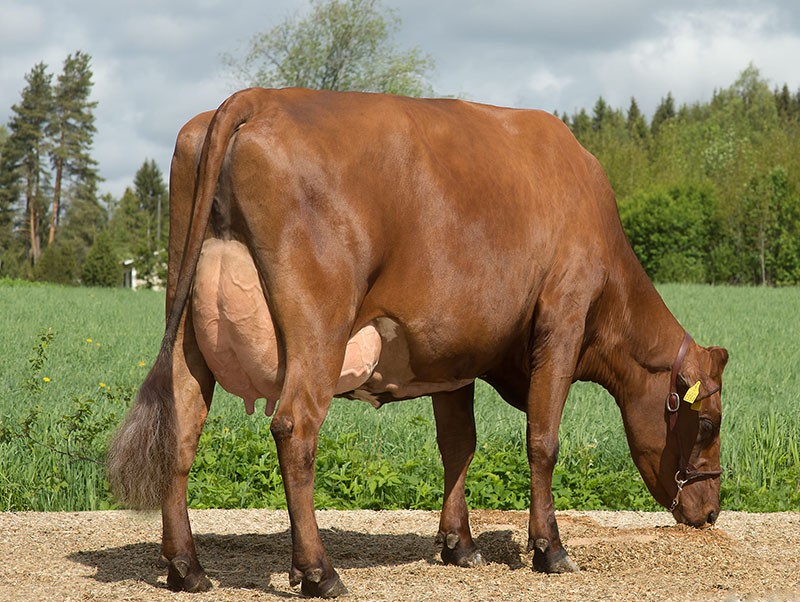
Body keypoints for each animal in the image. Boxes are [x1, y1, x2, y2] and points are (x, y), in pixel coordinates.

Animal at [108, 88, 732, 596]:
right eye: (707, 423)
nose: (711, 511)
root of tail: (258, 97)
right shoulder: (563, 320)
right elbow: (543, 440)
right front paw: (550, 550)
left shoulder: (451, 354)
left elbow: (459, 445)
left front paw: (460, 545)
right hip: (317, 325)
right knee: (294, 428)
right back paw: (319, 572)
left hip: (186, 325)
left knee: (181, 431)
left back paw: (187, 569)